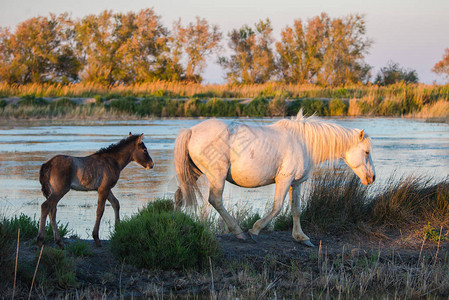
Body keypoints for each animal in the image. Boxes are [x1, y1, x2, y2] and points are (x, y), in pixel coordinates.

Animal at [172, 112, 374, 246]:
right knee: (215, 200)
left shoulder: (295, 183)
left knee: (178, 197)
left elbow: (296, 209)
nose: (372, 177)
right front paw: (254, 230)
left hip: (194, 172)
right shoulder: (284, 180)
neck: (303, 142)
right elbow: (277, 208)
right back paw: (239, 232)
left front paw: (301, 237)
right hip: (217, 176)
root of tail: (191, 131)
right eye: (366, 152)